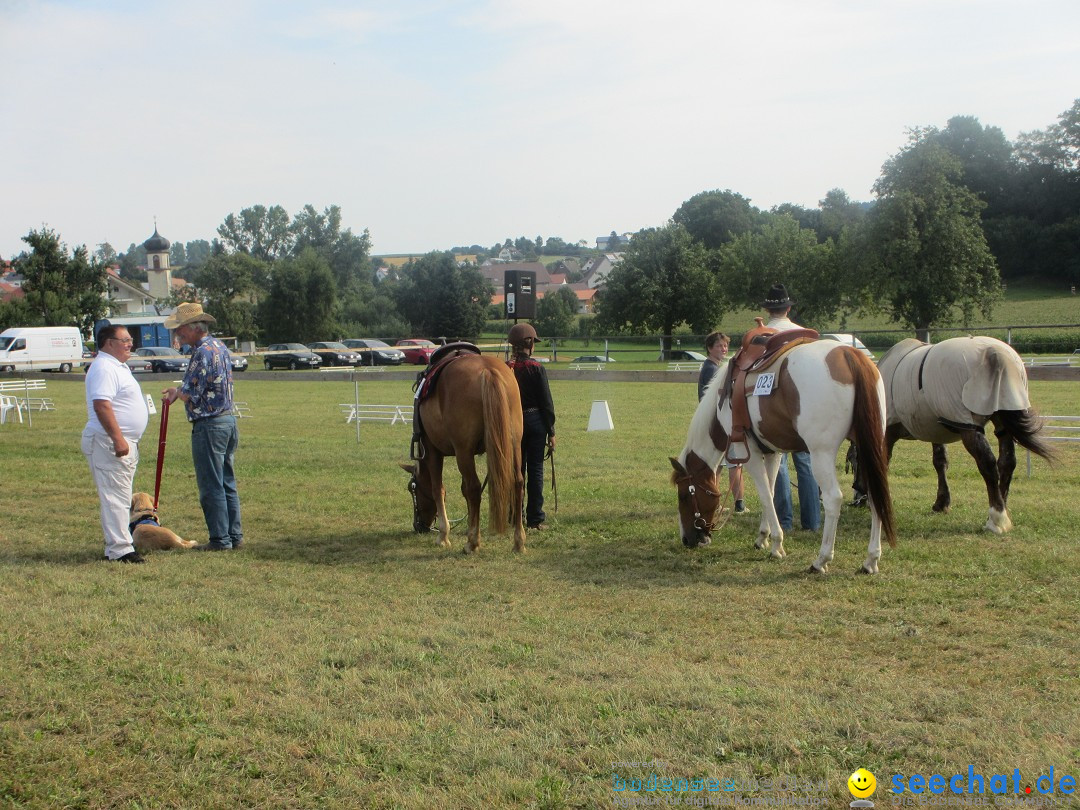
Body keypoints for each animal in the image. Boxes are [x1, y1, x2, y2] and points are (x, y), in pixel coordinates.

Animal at [673, 330, 894, 578]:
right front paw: (763, 537)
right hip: (868, 447)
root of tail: (848, 354)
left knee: (833, 499)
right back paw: (871, 560)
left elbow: (765, 495)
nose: (687, 540)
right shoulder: (772, 453)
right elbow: (770, 491)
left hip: (822, 453)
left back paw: (821, 560)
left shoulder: (747, 454)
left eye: (683, 496)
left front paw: (777, 544)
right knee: (875, 494)